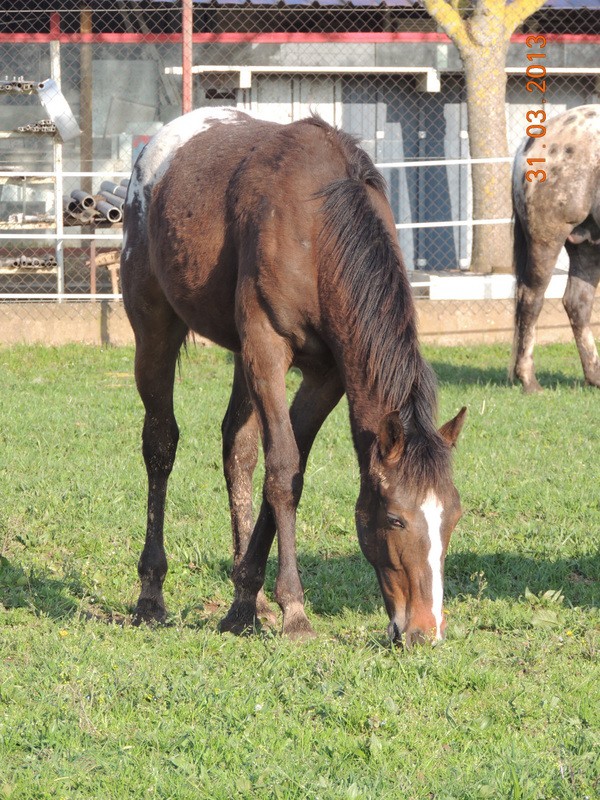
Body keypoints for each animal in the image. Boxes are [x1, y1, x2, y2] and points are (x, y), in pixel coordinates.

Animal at [122, 108, 466, 644]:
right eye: (395, 519)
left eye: (452, 516)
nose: (426, 630)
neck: (319, 226)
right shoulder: (267, 347)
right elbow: (283, 469)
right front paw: (295, 610)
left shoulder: (326, 375)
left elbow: (285, 472)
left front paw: (247, 599)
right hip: (155, 327)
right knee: (160, 444)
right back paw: (150, 594)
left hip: (240, 355)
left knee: (237, 452)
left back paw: (251, 598)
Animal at [510, 104, 600, 392]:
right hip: (548, 239)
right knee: (530, 299)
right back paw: (528, 379)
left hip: (588, 246)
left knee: (577, 303)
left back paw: (594, 376)